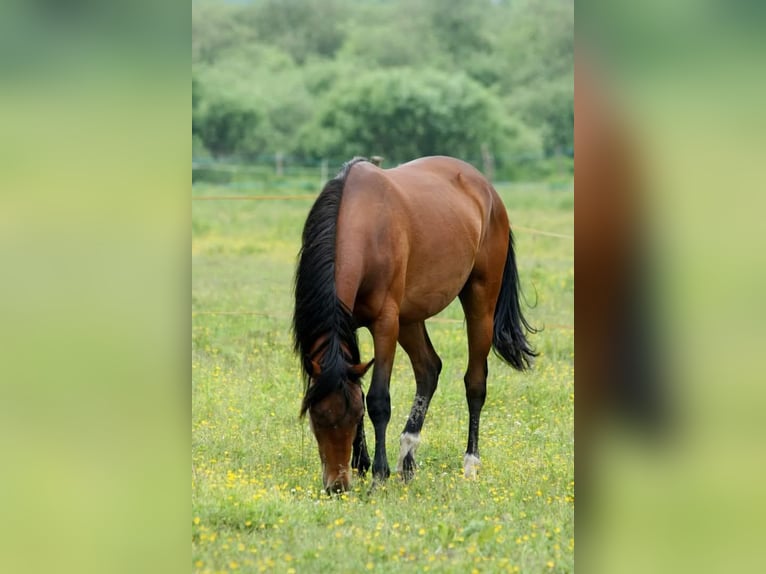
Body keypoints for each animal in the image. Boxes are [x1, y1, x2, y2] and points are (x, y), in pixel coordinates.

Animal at [294, 158, 540, 496]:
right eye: (316, 418)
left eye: (352, 416)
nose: (337, 486)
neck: (363, 224)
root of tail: (488, 191)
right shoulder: (350, 324)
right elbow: (359, 386)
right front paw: (363, 465)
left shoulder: (385, 323)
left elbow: (378, 400)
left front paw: (378, 476)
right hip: (411, 318)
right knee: (429, 369)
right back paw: (407, 459)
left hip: (479, 304)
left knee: (475, 383)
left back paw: (470, 464)